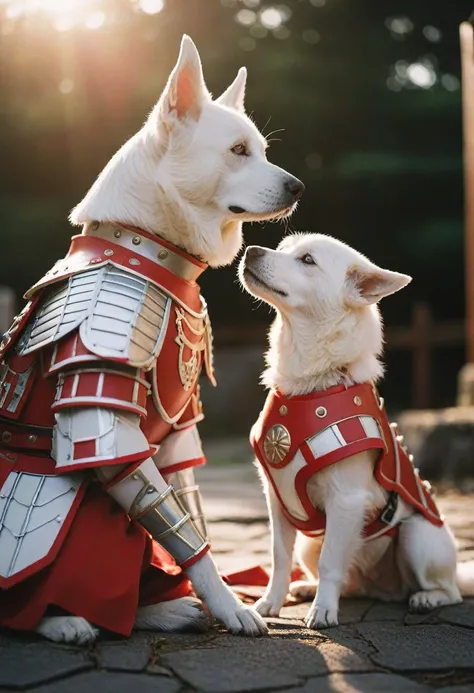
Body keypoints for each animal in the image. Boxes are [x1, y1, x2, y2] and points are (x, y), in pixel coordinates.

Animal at [241, 232, 470, 628]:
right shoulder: (278, 501)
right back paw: (307, 588)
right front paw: (271, 603)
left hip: (418, 538)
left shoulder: (345, 500)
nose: (251, 250)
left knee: (448, 590)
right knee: (345, 580)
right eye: (282, 248)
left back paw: (426, 597)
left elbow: (331, 562)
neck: (312, 384)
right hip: (311, 542)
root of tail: (383, 589)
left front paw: (322, 611)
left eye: (307, 260)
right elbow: (279, 558)